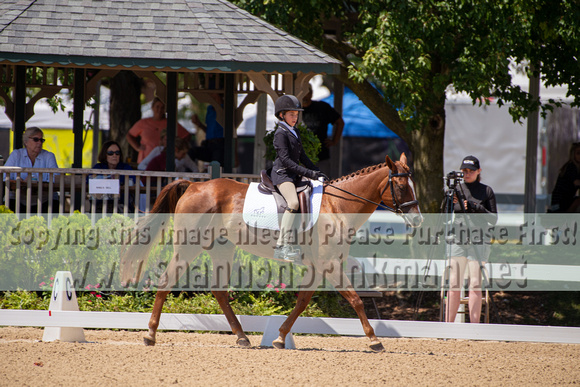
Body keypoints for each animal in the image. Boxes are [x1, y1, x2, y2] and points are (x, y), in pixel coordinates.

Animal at [121, 154, 422, 352]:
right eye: (401, 186)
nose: (418, 220)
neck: (337, 206)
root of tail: (195, 185)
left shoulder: (318, 266)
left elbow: (302, 302)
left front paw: (279, 338)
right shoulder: (329, 264)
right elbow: (356, 300)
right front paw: (374, 340)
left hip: (222, 248)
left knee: (219, 293)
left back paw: (242, 338)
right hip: (188, 246)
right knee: (165, 282)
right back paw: (150, 335)